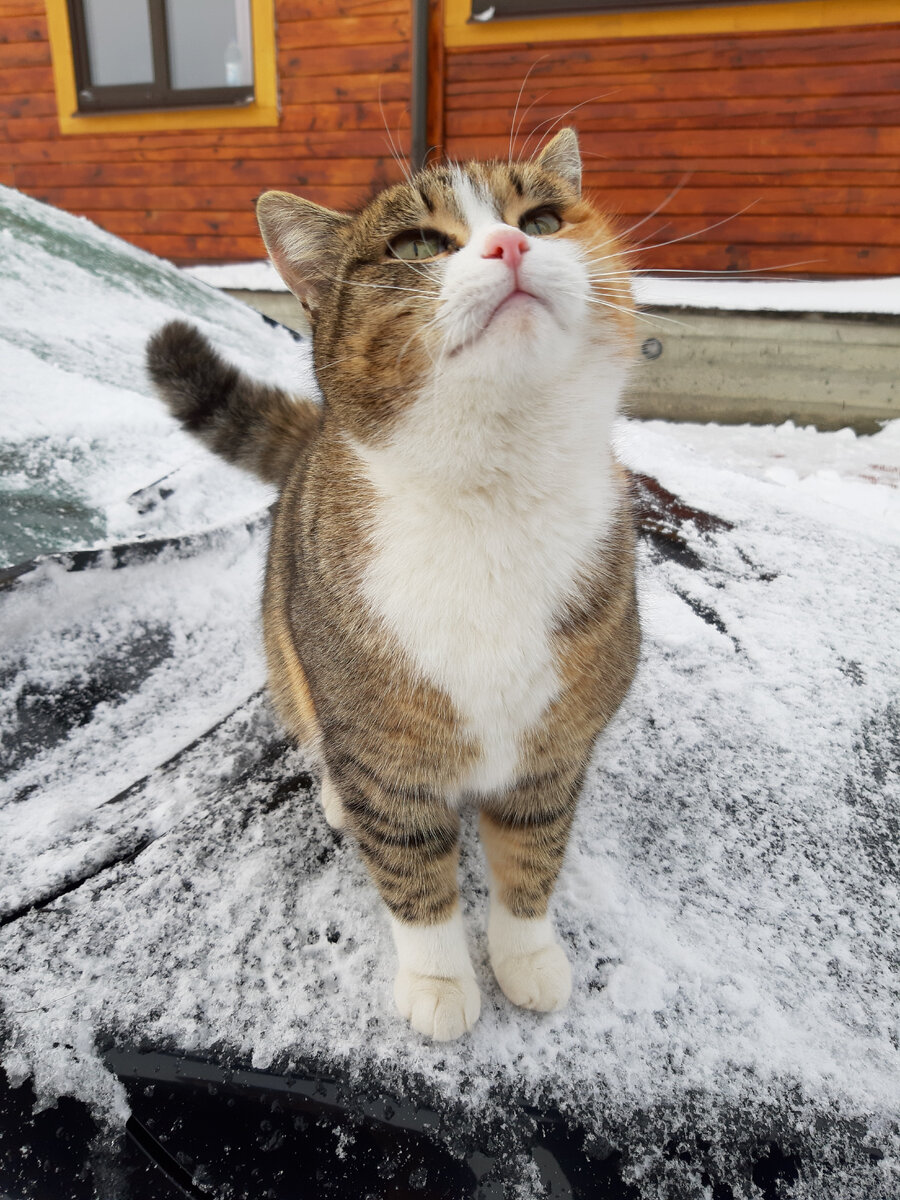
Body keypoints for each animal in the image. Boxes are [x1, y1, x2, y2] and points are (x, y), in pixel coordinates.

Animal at [146, 129, 643, 1041]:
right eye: (417, 245)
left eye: (543, 219)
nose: (511, 245)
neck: (493, 498)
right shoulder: (384, 756)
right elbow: (413, 873)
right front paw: (441, 983)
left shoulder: (554, 748)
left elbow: (532, 854)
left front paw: (528, 956)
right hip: (291, 654)